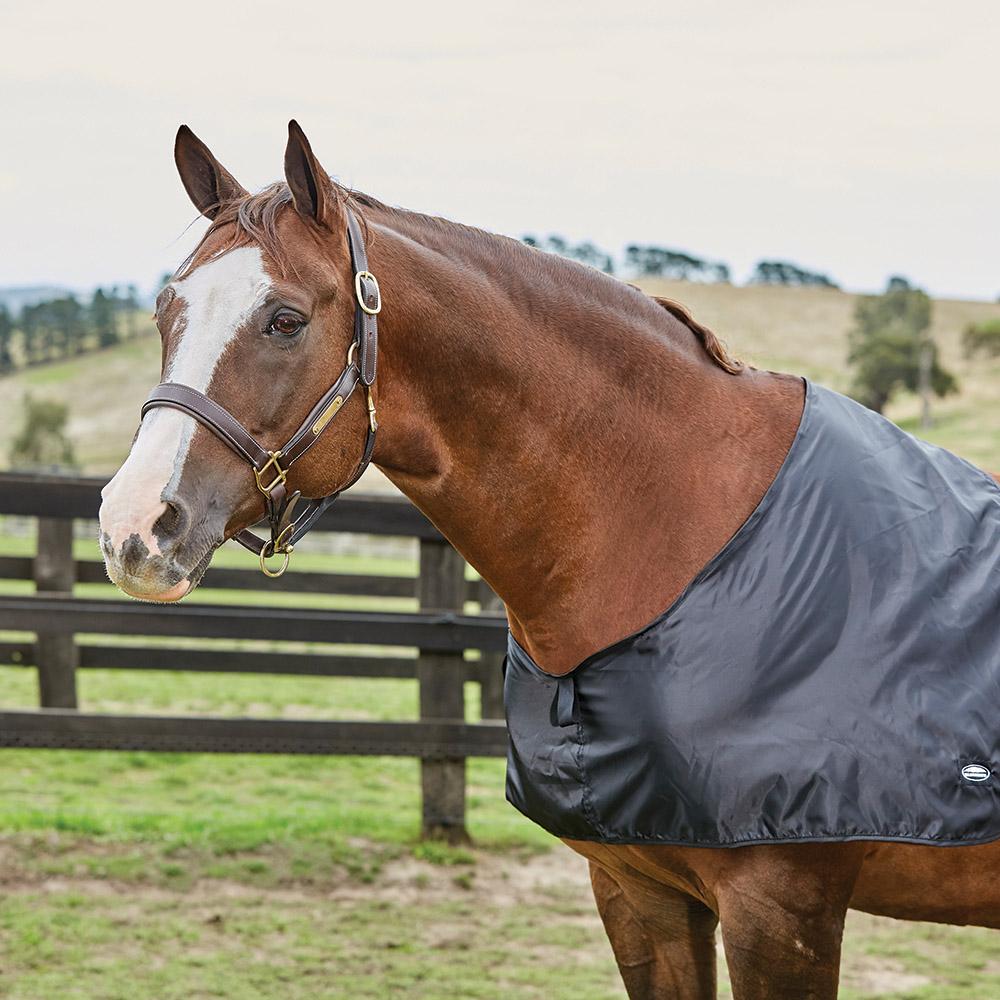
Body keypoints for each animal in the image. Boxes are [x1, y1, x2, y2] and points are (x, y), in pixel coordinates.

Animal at [98, 122, 1000, 999]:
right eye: (166, 310)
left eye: (284, 320)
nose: (132, 526)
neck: (690, 538)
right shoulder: (639, 891)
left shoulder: (782, 910)